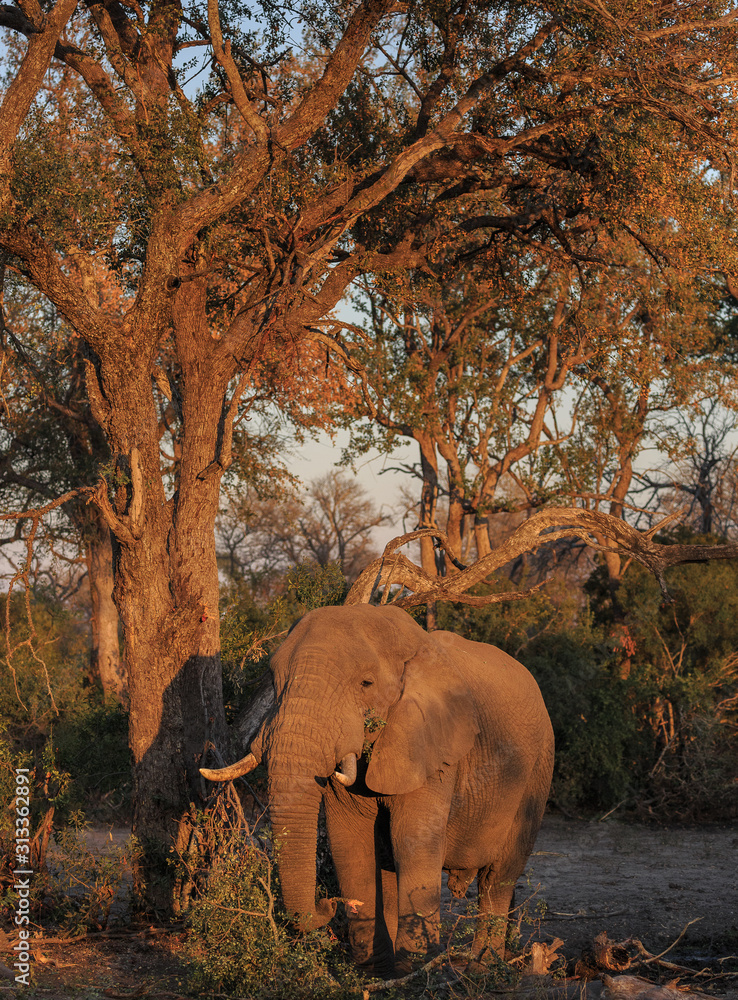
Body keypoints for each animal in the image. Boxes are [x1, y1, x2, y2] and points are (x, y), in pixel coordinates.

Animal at [201, 604, 554, 977]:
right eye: (274, 679)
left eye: (365, 684)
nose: (326, 904)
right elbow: (351, 839)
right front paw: (376, 973)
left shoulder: (431, 742)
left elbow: (412, 838)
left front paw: (414, 972)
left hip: (538, 767)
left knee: (497, 878)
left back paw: (484, 965)